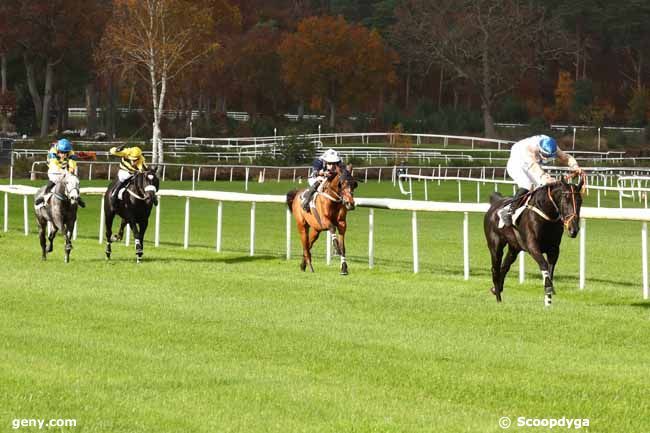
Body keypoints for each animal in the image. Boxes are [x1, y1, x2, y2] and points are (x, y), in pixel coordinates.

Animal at [480, 176, 584, 308]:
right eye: (566, 199)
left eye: (580, 201)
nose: (573, 229)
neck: (546, 215)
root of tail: (495, 203)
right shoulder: (532, 246)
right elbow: (543, 264)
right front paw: (548, 289)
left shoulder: (554, 250)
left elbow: (550, 269)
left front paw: (548, 299)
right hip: (495, 246)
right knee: (495, 270)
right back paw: (498, 298)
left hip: (514, 248)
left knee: (504, 267)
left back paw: (496, 289)